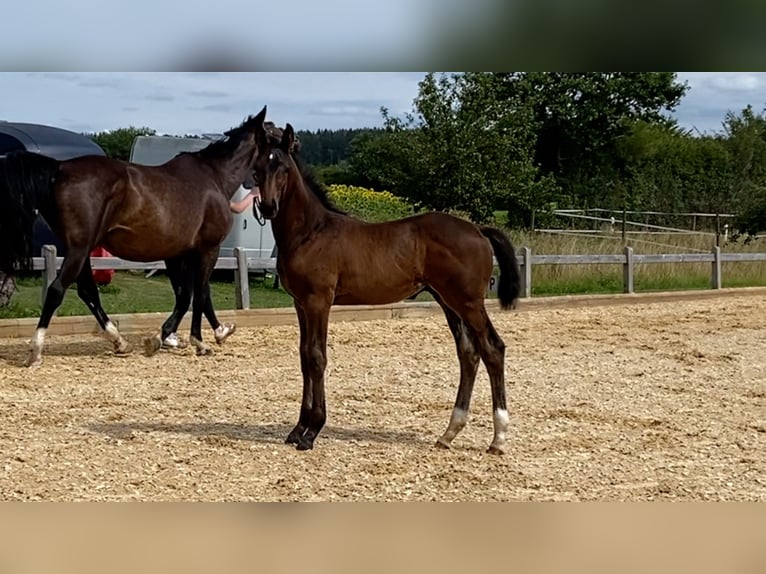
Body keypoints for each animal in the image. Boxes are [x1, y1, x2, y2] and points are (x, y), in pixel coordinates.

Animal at [0, 108, 270, 368]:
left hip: (80, 250)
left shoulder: (177, 254)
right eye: (273, 134)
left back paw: (119, 342)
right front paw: (201, 339)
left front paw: (179, 335)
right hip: (78, 249)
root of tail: (59, 168)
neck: (214, 177)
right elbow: (199, 294)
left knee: (88, 292)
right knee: (57, 290)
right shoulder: (207, 249)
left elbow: (188, 295)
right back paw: (35, 351)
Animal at [255, 124, 524, 456]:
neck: (311, 232)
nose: (268, 206)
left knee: (492, 349)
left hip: (470, 302)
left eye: (283, 167)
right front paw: (297, 429)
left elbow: (317, 357)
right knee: (469, 353)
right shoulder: (300, 304)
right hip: (448, 301)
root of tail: (478, 229)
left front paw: (312, 431)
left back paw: (498, 438)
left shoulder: (319, 301)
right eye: (257, 168)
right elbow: (305, 356)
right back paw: (449, 433)